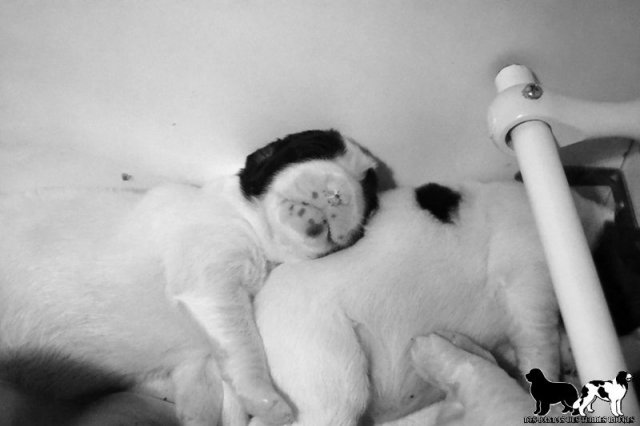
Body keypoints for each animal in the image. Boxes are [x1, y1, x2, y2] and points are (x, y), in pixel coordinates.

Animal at [0, 129, 377, 426]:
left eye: (369, 195)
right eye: (311, 148)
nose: (338, 194)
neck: (253, 228)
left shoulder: (198, 360)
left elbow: (207, 393)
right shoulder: (213, 282)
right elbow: (246, 345)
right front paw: (271, 404)